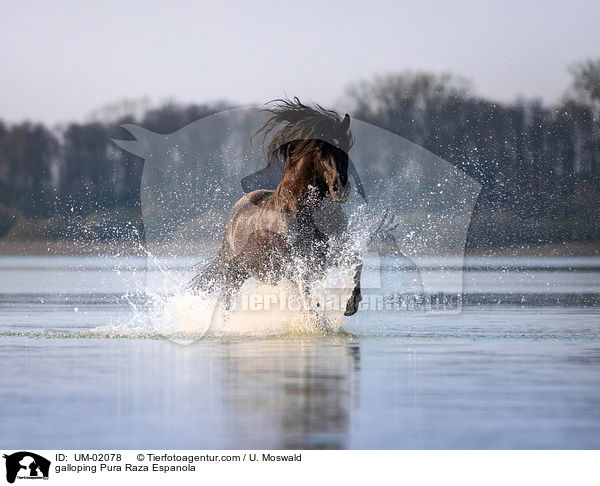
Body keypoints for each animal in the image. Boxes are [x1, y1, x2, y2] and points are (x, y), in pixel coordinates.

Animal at [191, 98, 360, 318]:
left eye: (346, 147)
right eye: (320, 150)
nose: (341, 189)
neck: (304, 211)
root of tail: (234, 216)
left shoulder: (336, 252)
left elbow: (357, 263)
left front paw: (351, 305)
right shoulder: (295, 265)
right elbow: (307, 298)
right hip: (233, 271)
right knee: (226, 302)